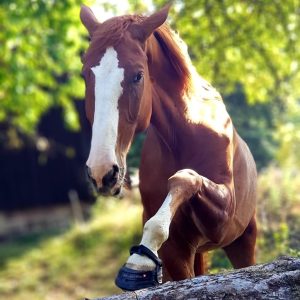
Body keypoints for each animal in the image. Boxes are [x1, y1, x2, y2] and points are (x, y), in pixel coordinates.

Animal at [80, 4, 258, 290]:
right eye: (85, 75)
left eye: (138, 75)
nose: (102, 172)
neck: (186, 135)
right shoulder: (176, 252)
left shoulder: (223, 217)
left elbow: (184, 178)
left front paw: (138, 262)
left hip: (243, 240)